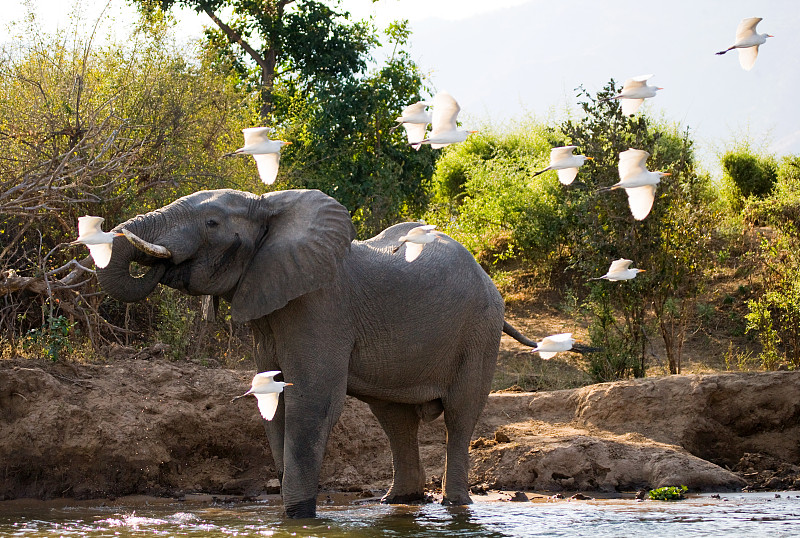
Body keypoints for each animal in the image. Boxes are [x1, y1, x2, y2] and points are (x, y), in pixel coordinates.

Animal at [97, 187, 540, 516]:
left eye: (211, 223)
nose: (160, 261)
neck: (269, 204)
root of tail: (485, 273)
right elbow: (274, 398)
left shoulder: (319, 307)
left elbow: (311, 399)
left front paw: (298, 516)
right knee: (395, 419)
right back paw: (398, 501)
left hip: (479, 329)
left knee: (460, 415)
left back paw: (454, 504)